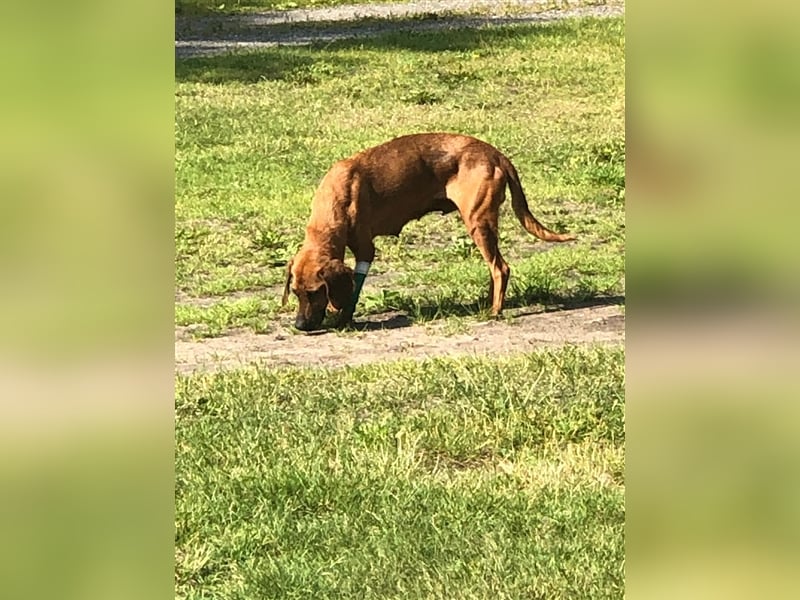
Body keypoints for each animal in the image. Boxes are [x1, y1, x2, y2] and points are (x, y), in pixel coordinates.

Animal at [282, 132, 576, 330]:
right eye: (295, 292)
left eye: (315, 292)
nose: (300, 326)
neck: (335, 201)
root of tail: (494, 153)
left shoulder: (366, 249)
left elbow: (354, 287)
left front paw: (344, 317)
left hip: (478, 222)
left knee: (500, 268)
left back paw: (494, 310)